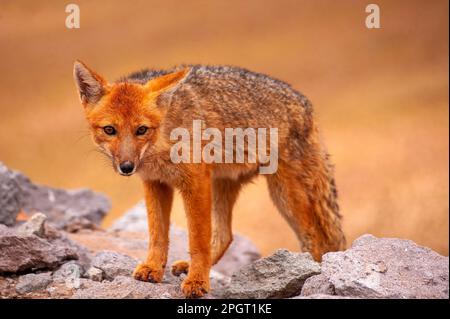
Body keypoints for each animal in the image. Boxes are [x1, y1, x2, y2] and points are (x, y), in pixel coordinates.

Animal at [74, 61, 346, 298]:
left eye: (141, 130)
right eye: (110, 130)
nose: (126, 167)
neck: (163, 145)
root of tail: (304, 101)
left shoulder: (195, 183)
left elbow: (198, 240)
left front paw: (197, 282)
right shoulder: (155, 183)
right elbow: (157, 234)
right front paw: (153, 268)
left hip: (284, 196)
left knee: (316, 239)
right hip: (224, 185)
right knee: (226, 235)